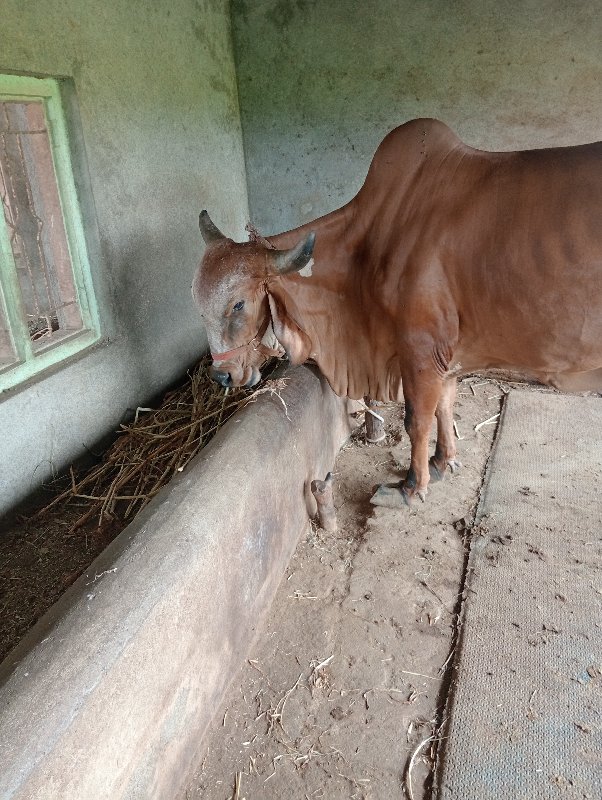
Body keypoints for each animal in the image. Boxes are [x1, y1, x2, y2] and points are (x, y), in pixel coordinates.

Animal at [192, 117, 600, 506]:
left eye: (238, 304)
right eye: (196, 302)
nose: (221, 375)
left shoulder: (420, 348)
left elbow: (416, 419)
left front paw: (412, 486)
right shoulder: (446, 356)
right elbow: (444, 407)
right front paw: (442, 462)